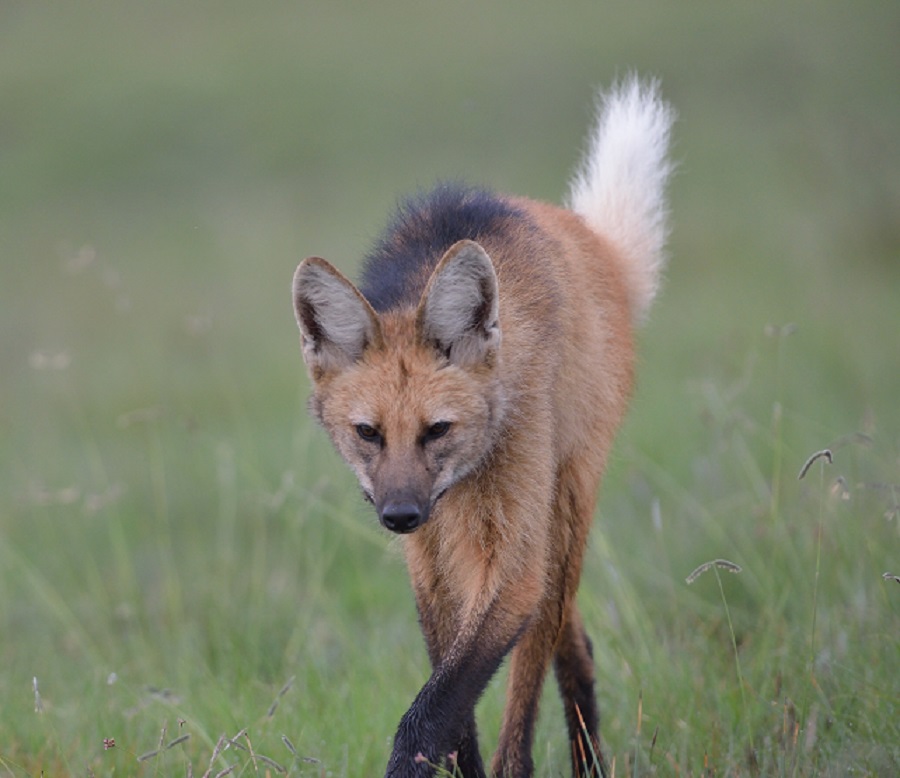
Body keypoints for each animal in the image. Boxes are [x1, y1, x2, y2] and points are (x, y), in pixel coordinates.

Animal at [294, 79, 676, 776]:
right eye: (368, 433)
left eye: (437, 429)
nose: (399, 515)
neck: (460, 483)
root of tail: (590, 239)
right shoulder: (431, 565)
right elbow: (452, 710)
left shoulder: (512, 569)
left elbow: (432, 714)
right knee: (576, 644)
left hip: (559, 518)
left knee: (534, 684)